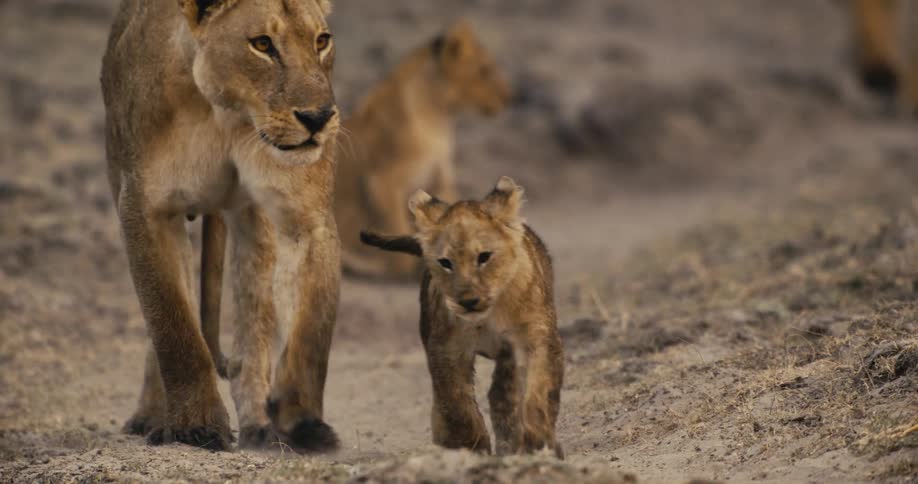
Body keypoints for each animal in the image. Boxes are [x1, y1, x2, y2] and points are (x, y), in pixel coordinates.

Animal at [102, 0, 341, 451]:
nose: (318, 118)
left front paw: (302, 420)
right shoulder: (144, 208)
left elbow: (310, 328)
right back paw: (152, 416)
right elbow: (173, 325)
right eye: (262, 44)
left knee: (255, 323)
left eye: (321, 41)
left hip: (253, 222)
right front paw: (196, 426)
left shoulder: (305, 216)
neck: (226, 113)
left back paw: (258, 424)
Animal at [336, 20, 512, 280]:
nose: (509, 97)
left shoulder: (441, 176)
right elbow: (396, 230)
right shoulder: (383, 181)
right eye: (484, 70)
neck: (439, 120)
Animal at [361, 177, 564, 457]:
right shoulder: (446, 348)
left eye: (484, 257)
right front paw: (470, 448)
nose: (468, 301)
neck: (488, 316)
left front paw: (537, 441)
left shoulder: (536, 336)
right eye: (446, 262)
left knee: (503, 392)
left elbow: (540, 390)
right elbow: (457, 402)